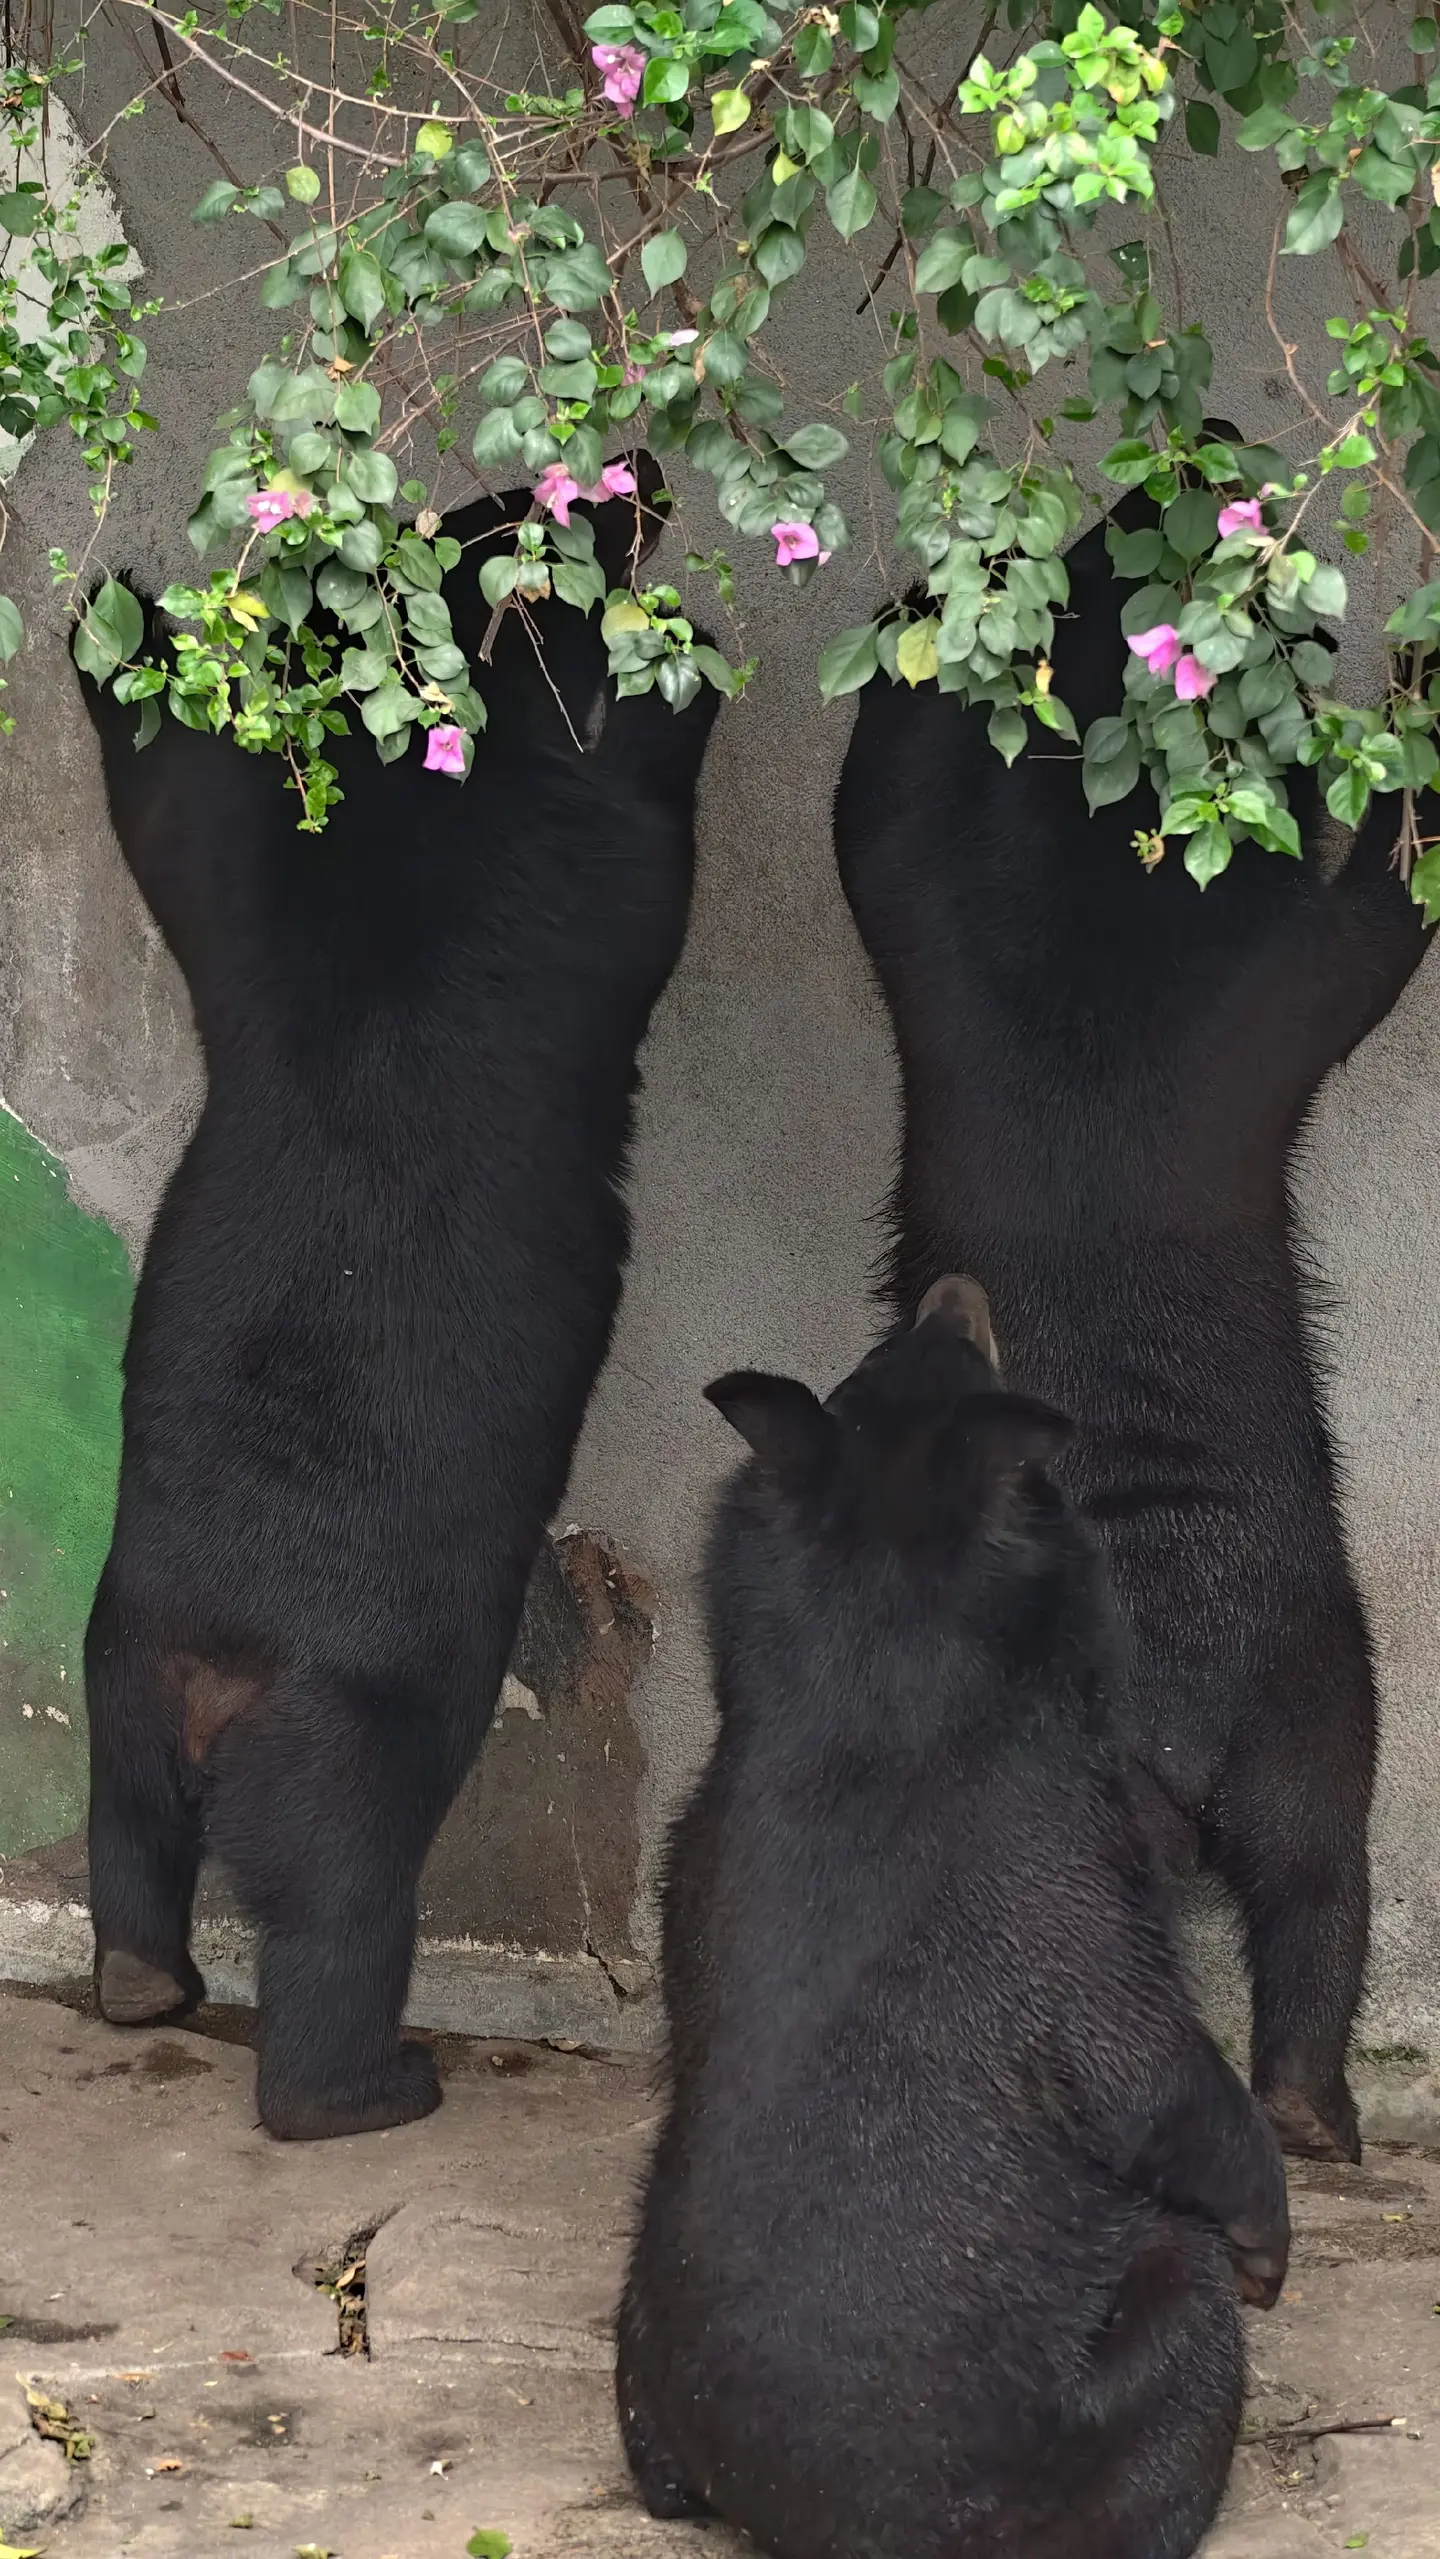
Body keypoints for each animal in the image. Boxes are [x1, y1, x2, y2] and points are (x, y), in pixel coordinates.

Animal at [618, 1280, 1288, 2559]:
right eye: (961, 1351)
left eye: (887, 1355)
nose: (955, 1289)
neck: (874, 1661)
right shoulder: (1069, 1870)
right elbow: (1154, 2071)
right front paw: (1270, 2243)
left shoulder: (688, 1852)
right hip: (1119, 2374)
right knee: (1182, 2348)